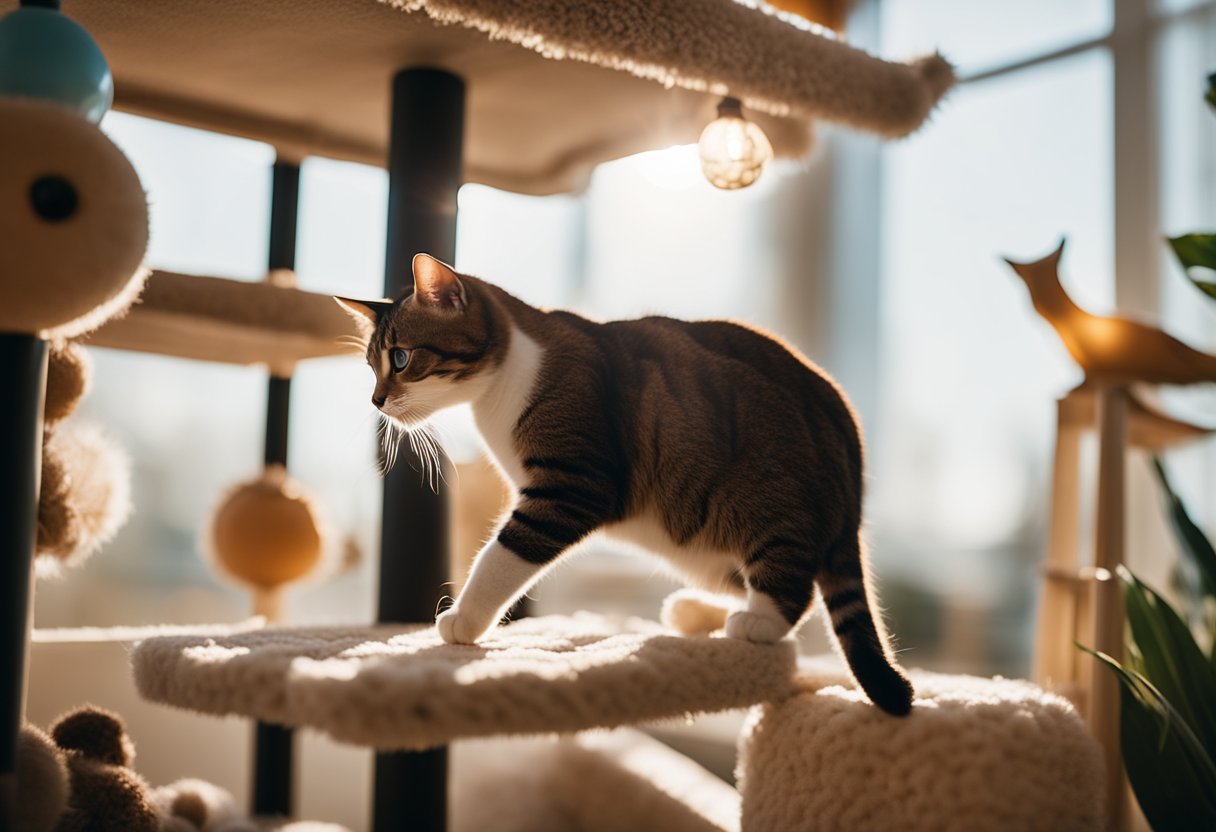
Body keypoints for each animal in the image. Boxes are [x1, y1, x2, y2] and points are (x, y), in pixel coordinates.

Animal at [335, 251, 914, 715]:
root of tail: (849, 451)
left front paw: (464, 620)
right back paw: (697, 610)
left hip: (768, 502)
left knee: (793, 588)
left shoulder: (572, 485)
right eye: (370, 367)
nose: (375, 401)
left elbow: (502, 555)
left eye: (402, 359)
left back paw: (756, 621)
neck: (506, 380)